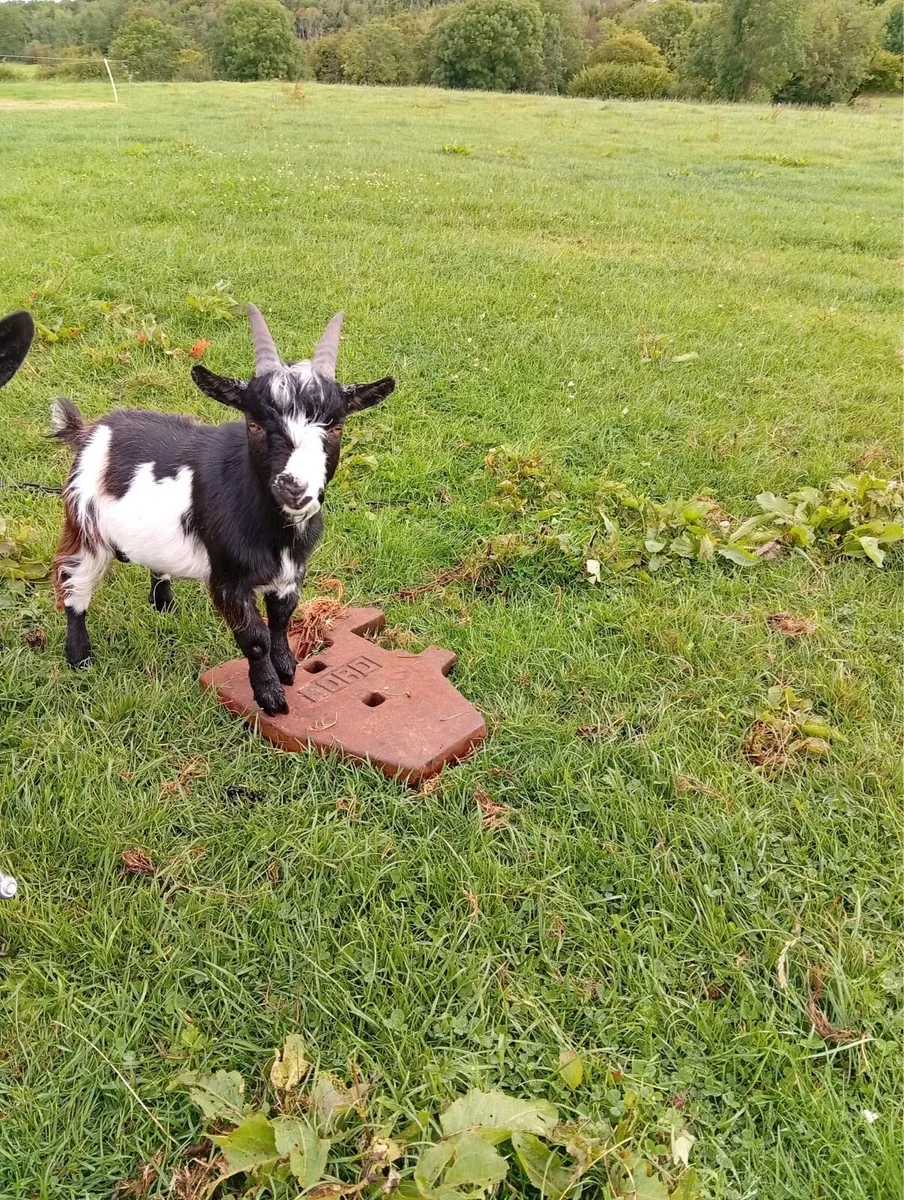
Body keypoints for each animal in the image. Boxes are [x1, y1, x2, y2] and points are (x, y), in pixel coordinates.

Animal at [51, 306, 395, 715]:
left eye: (337, 426)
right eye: (254, 423)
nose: (295, 487)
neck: (276, 531)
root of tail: (89, 431)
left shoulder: (292, 572)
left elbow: (281, 621)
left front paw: (287, 669)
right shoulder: (228, 579)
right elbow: (256, 638)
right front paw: (270, 697)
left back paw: (163, 605)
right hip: (84, 524)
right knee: (74, 581)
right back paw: (80, 657)